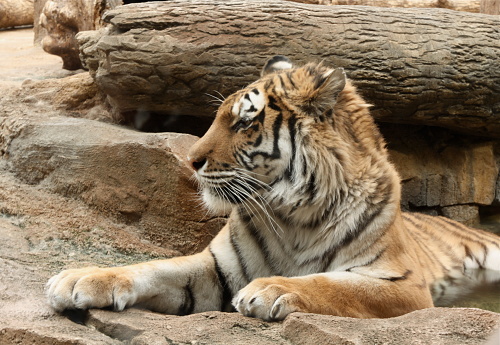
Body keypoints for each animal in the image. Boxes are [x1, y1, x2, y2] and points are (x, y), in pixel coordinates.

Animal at [47, 55, 500, 322]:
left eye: (245, 122)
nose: (190, 161)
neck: (294, 214)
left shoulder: (402, 285)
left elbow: (331, 283)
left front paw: (272, 289)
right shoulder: (216, 268)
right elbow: (154, 267)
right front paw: (80, 279)